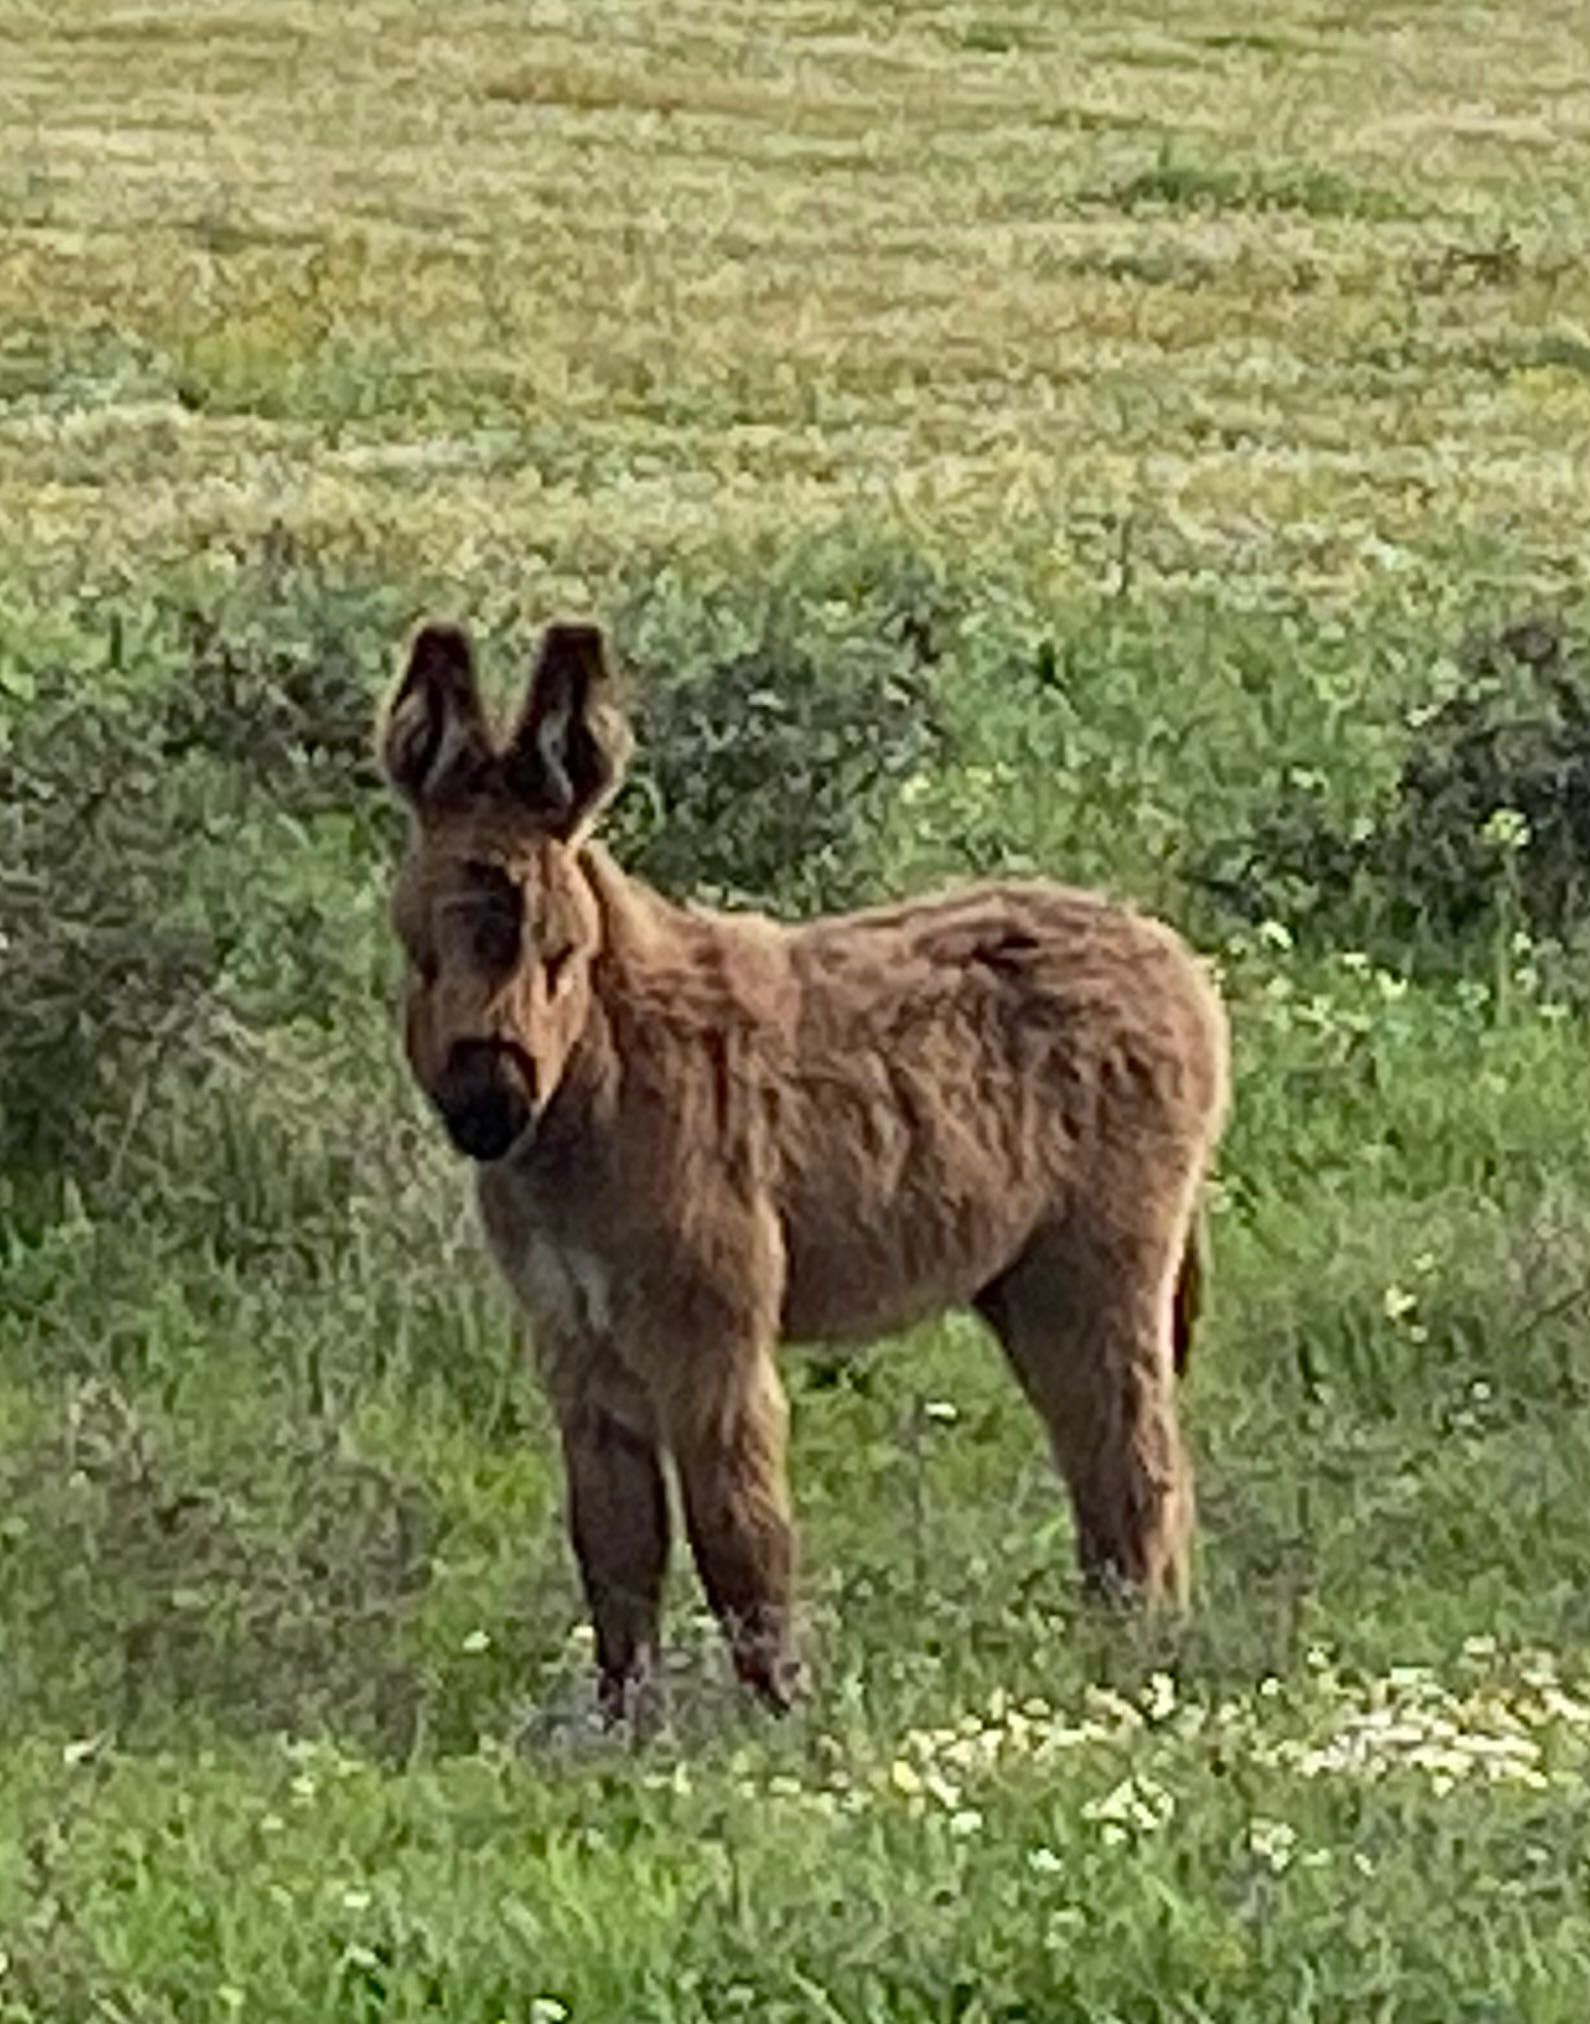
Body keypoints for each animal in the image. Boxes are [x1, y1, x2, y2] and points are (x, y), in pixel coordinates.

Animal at [378, 619, 1229, 1724]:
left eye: (559, 953)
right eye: (419, 954)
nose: (488, 1106)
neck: (594, 1105)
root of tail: (1171, 955)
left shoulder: (710, 1331)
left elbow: (740, 1535)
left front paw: (778, 1722)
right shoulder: (579, 1347)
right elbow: (615, 1553)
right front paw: (625, 1729)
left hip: (1097, 1269)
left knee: (1139, 1475)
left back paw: (1136, 1666)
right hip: (1023, 1283)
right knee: (1116, 1479)